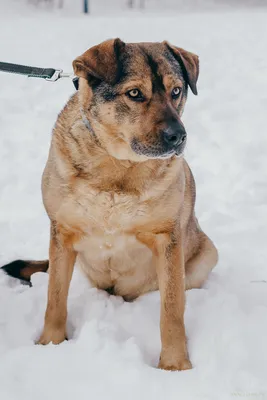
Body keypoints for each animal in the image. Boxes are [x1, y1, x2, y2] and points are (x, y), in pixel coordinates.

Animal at [2, 39, 219, 370]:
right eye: (135, 93)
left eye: (176, 91)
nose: (178, 136)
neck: (118, 168)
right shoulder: (62, 232)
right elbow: (55, 298)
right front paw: (50, 344)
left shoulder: (166, 238)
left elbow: (171, 310)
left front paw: (174, 366)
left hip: (206, 253)